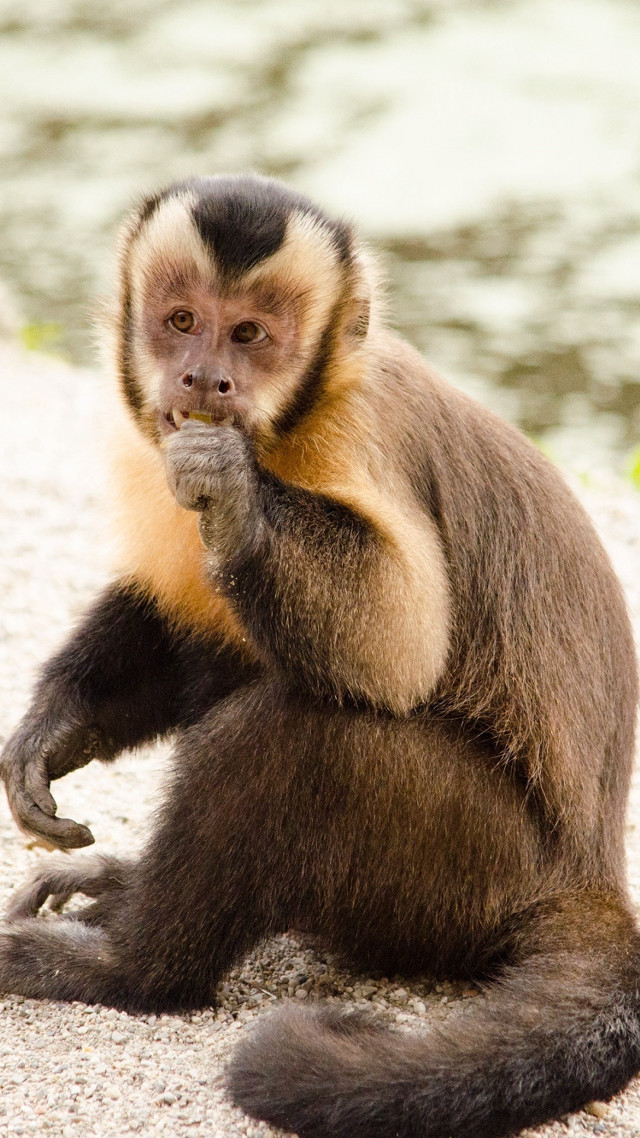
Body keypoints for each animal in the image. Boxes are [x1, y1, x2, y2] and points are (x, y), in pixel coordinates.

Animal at [0, 173, 639, 1138]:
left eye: (251, 336)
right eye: (181, 321)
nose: (205, 378)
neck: (284, 429)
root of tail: (592, 871)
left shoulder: (356, 439)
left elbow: (398, 647)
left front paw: (234, 492)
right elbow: (179, 623)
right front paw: (56, 726)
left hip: (473, 873)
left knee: (289, 735)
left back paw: (134, 968)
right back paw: (127, 890)